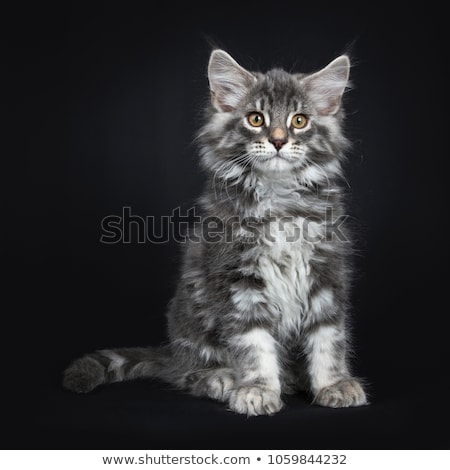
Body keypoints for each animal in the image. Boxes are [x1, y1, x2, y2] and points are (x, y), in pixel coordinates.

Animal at [63, 50, 368, 414]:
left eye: (299, 121)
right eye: (255, 119)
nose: (278, 140)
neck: (279, 201)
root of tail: (173, 354)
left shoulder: (327, 272)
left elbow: (328, 337)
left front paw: (333, 384)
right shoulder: (235, 276)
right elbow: (253, 342)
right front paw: (258, 389)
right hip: (192, 319)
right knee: (188, 373)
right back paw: (221, 379)